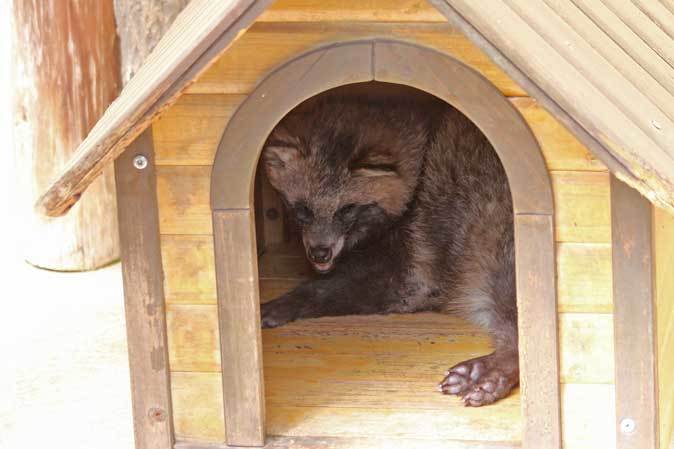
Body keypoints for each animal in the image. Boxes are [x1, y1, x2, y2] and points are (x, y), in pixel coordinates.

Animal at [260, 91, 516, 406]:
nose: (320, 254)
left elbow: (324, 289)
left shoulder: (414, 264)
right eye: (303, 210)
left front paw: (286, 302)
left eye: (346, 209)